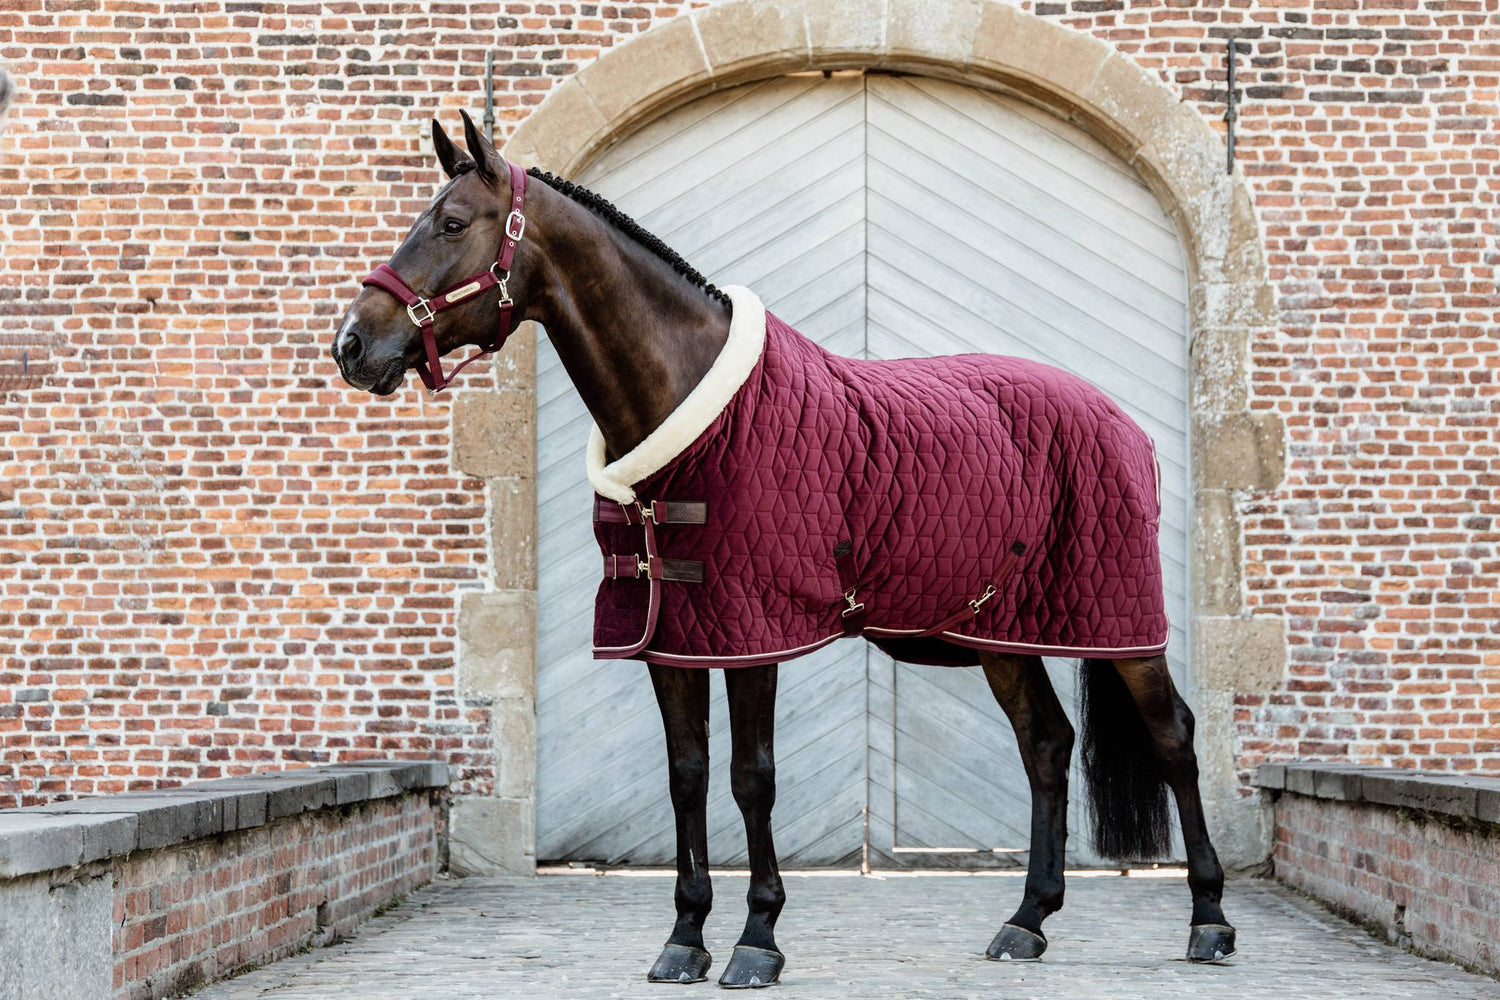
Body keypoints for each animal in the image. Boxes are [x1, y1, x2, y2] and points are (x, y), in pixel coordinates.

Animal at [334, 113, 1236, 989]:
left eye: (452, 223)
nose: (352, 346)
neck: (687, 411)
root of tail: (1116, 419)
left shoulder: (751, 631)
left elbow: (751, 778)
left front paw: (757, 940)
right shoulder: (673, 636)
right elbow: (688, 776)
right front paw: (684, 939)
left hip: (1121, 623)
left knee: (1173, 740)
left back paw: (1209, 922)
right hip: (1000, 633)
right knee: (1045, 745)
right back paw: (1026, 922)